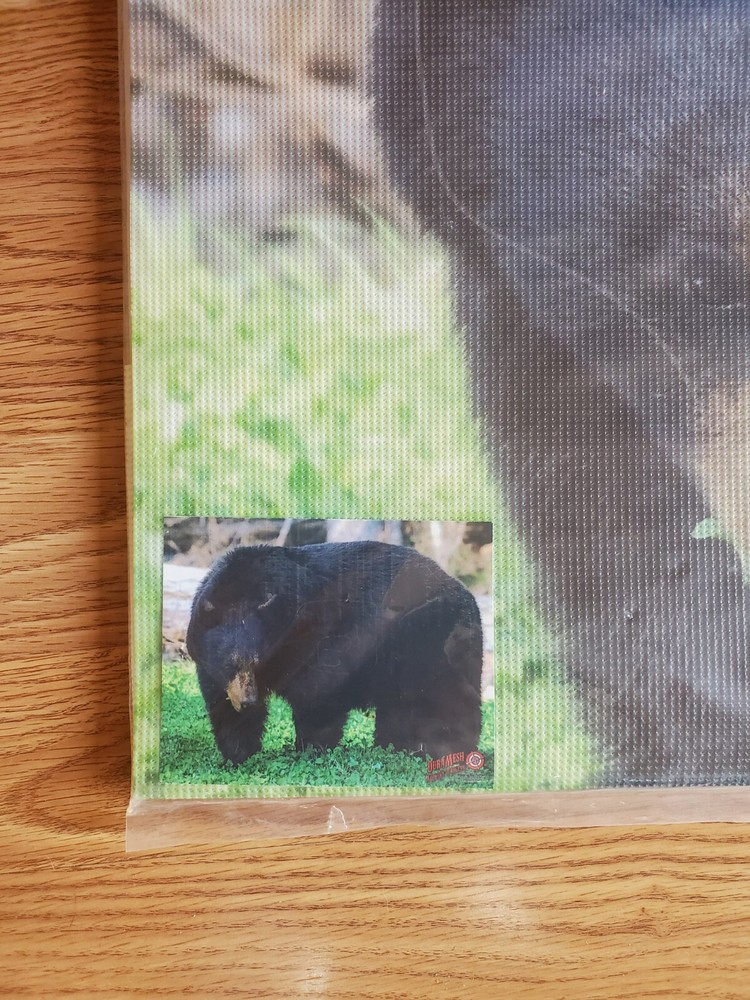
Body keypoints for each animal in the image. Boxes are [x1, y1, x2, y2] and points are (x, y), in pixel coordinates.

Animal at [185, 541, 483, 765]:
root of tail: (467, 592)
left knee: (449, 698)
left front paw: (310, 749)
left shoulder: (320, 637)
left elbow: (318, 694)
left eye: (258, 662)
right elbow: (223, 705)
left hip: (429, 640)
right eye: (230, 664)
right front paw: (237, 754)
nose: (248, 700)